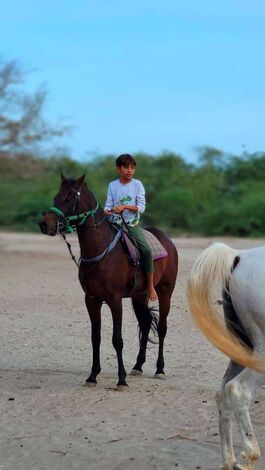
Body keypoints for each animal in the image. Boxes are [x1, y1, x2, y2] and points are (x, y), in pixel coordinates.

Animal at [38, 174, 177, 388]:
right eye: (56, 196)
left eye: (69, 198)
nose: (45, 224)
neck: (101, 251)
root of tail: (168, 241)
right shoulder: (91, 299)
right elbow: (96, 337)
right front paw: (92, 376)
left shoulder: (115, 299)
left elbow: (117, 339)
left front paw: (121, 380)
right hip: (139, 295)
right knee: (146, 323)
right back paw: (138, 366)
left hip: (165, 292)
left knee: (162, 328)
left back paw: (159, 369)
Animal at [187, 242, 264, 470]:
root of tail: (240, 256)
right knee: (237, 390)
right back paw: (249, 456)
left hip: (242, 353)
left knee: (222, 394)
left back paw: (229, 461)